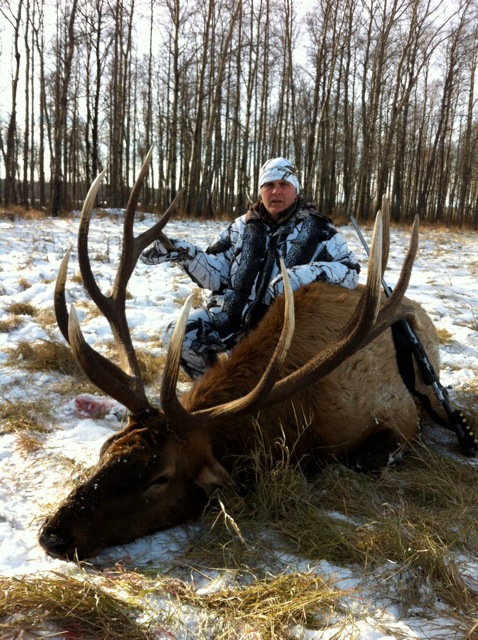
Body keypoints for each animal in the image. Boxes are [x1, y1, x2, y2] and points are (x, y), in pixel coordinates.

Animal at [38, 149, 442, 561]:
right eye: (107, 448)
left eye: (160, 477)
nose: (53, 534)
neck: (303, 420)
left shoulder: (400, 415)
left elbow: (365, 458)